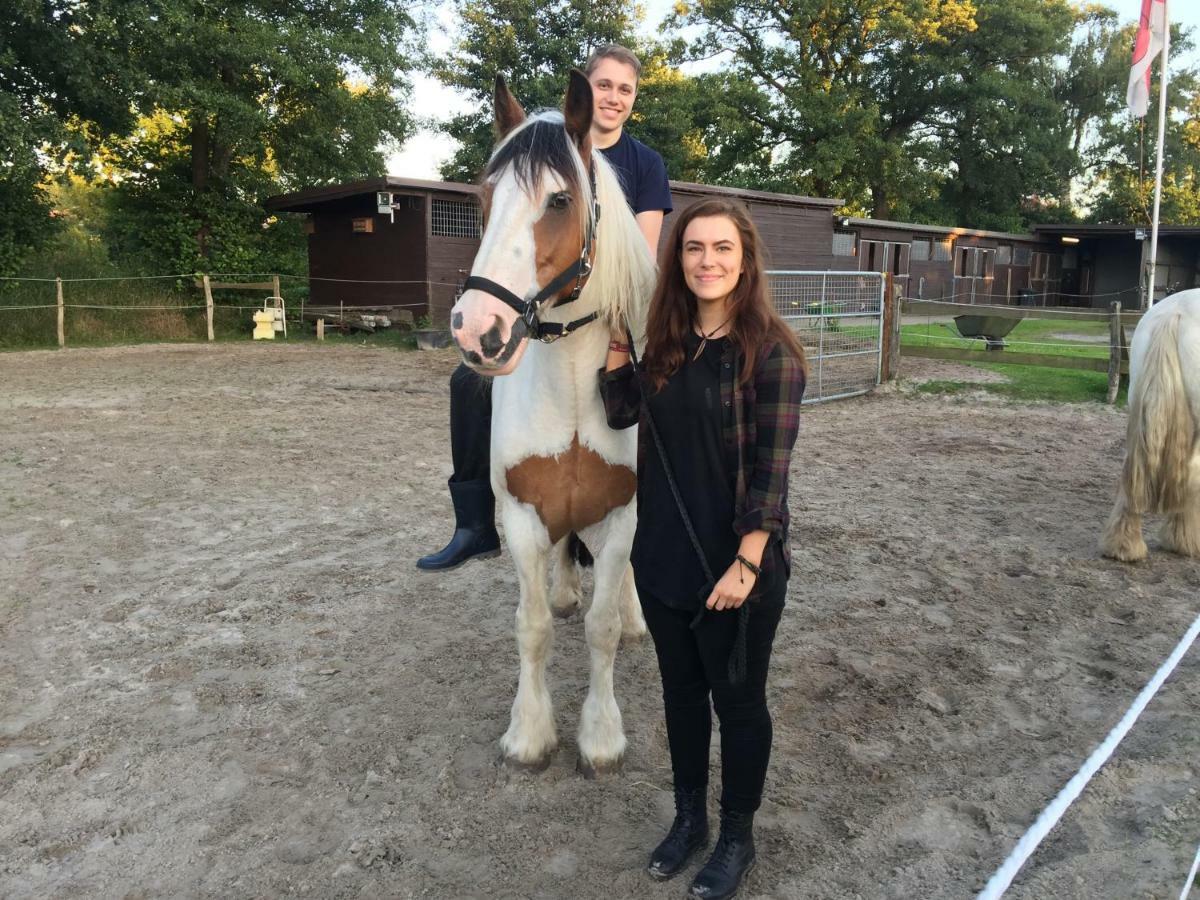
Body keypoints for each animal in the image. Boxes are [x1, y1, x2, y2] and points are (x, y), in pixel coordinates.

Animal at [451, 72, 657, 777]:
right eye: (484, 198)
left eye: (560, 200)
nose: (477, 330)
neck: (569, 387)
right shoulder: (521, 517)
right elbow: (533, 625)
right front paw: (529, 733)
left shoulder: (624, 515)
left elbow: (601, 629)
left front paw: (600, 738)